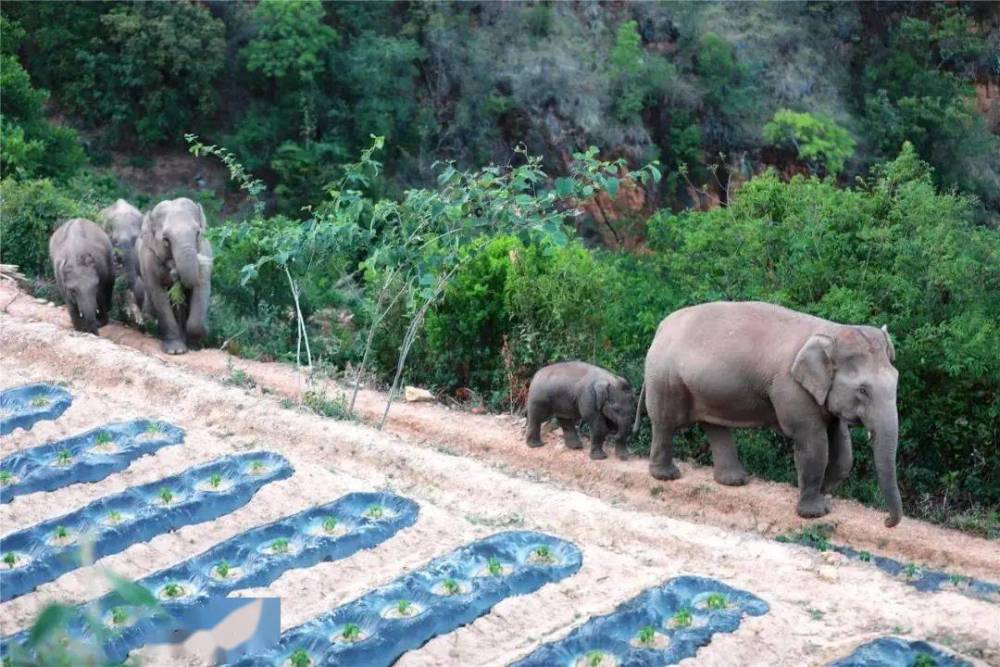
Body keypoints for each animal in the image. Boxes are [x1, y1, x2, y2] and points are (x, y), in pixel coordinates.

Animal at [137, 197, 213, 354]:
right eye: (166, 239)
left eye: (198, 233)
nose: (175, 272)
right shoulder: (148, 259)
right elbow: (158, 294)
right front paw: (176, 351)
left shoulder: (205, 251)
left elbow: (202, 286)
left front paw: (195, 345)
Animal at [640, 302, 908, 528]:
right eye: (863, 390)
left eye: (896, 379)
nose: (886, 521)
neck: (831, 331)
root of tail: (661, 327)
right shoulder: (791, 387)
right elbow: (813, 442)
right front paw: (814, 512)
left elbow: (842, 448)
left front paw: (825, 495)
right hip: (665, 378)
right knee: (664, 422)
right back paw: (667, 476)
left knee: (713, 425)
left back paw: (735, 481)